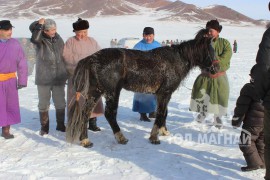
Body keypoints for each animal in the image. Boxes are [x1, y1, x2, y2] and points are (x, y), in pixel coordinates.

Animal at [66, 28, 215, 148]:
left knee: (85, 113)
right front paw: (154, 137)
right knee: (110, 114)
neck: (175, 60)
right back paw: (121, 138)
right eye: (209, 51)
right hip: (112, 92)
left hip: (95, 92)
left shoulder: (163, 94)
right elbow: (161, 113)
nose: (214, 69)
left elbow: (164, 112)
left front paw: (163, 131)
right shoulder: (165, 93)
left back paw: (85, 140)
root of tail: (91, 58)